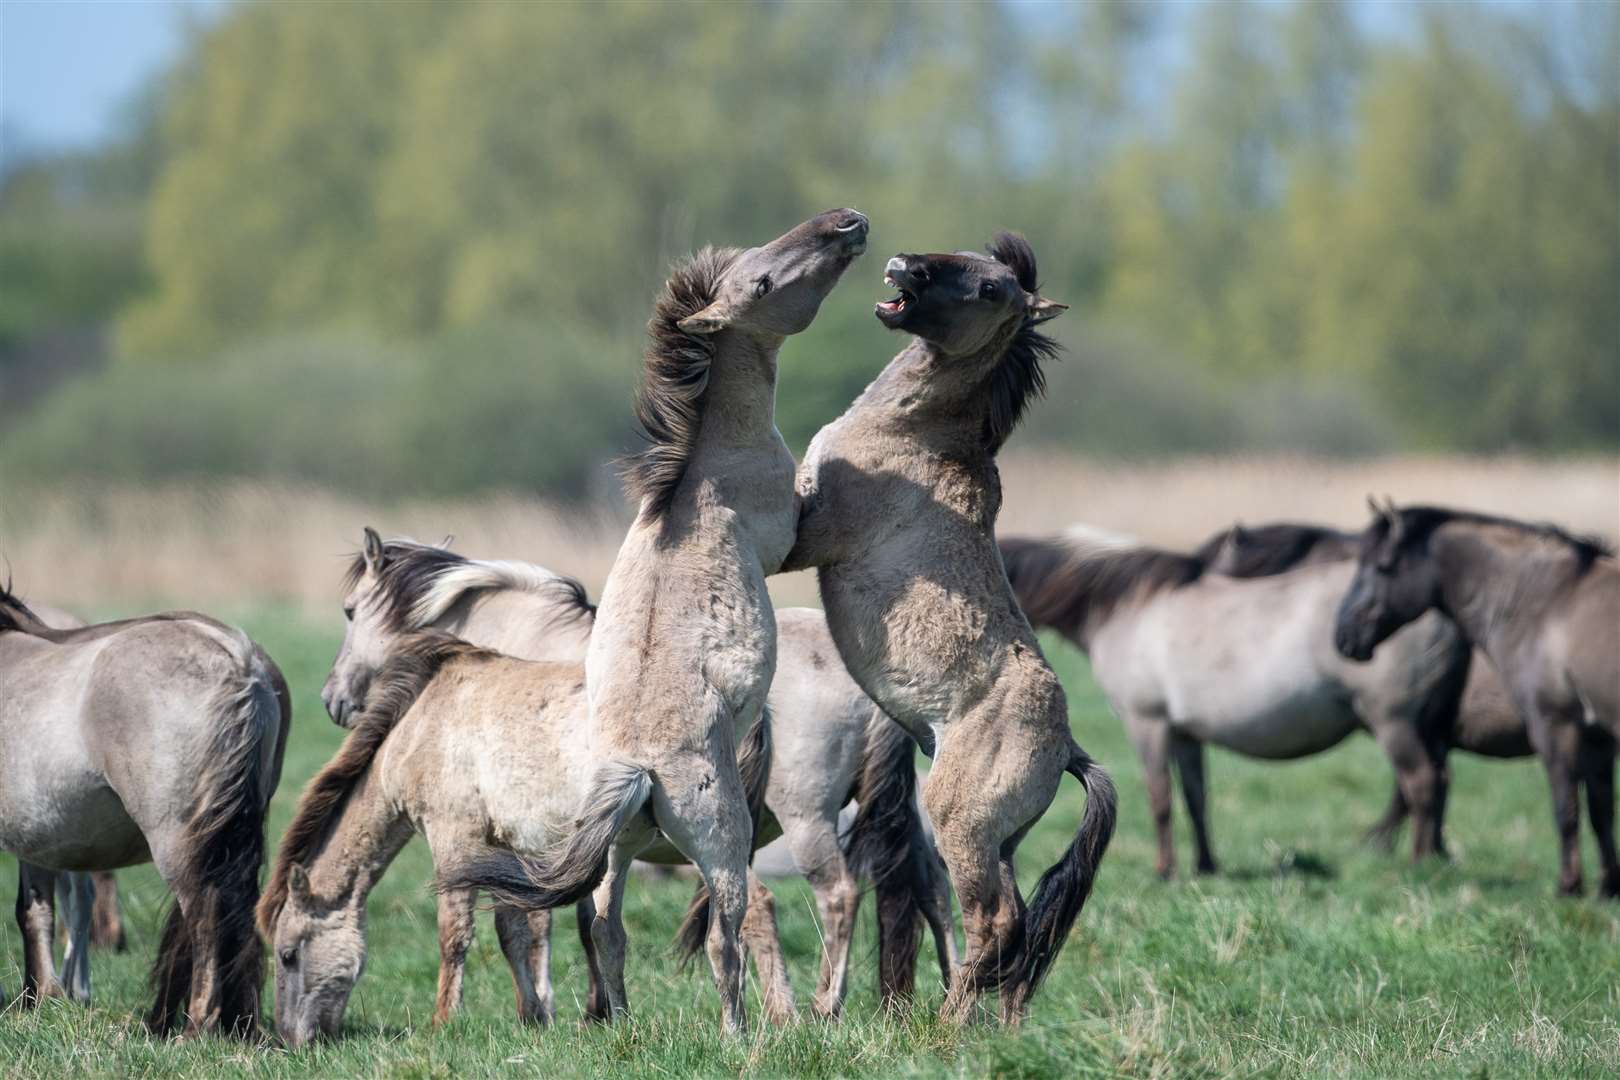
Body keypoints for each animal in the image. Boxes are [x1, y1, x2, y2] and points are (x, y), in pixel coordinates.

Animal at [0, 586, 288, 1036]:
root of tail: (240, 661)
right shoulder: (35, 834)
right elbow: (35, 911)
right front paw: (38, 1000)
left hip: (177, 840)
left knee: (205, 913)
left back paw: (196, 1027)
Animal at [443, 208, 874, 1029]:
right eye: (762, 279)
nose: (846, 224)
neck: (702, 470)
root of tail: (639, 771)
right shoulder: (790, 533)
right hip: (725, 843)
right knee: (727, 938)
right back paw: (743, 1033)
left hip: (615, 853)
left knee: (606, 927)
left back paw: (620, 1020)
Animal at [780, 233, 1114, 1029]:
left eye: (992, 289)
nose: (905, 265)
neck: (910, 434)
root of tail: (1067, 749)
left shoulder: (809, 536)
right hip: (997, 843)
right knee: (1016, 930)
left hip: (958, 825)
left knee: (994, 923)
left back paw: (946, 1027)